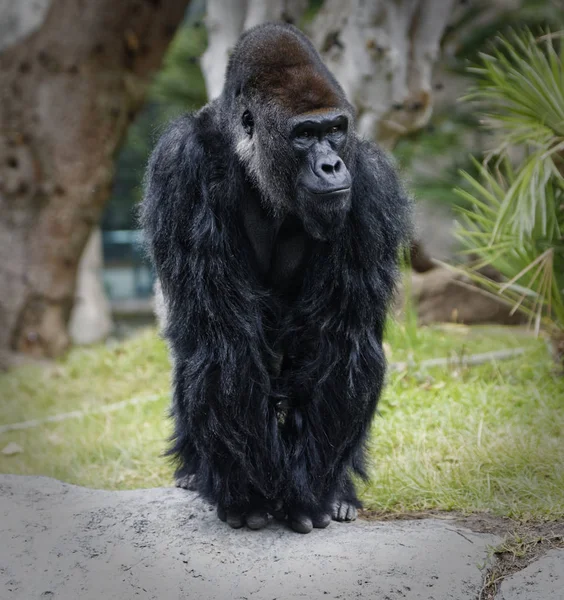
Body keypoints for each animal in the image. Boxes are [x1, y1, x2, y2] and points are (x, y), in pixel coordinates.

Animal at [141, 22, 410, 536]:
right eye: (304, 135)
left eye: (335, 130)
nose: (331, 165)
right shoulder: (182, 166)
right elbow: (223, 342)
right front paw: (250, 496)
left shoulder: (369, 182)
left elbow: (342, 339)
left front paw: (311, 496)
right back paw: (197, 473)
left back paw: (338, 491)